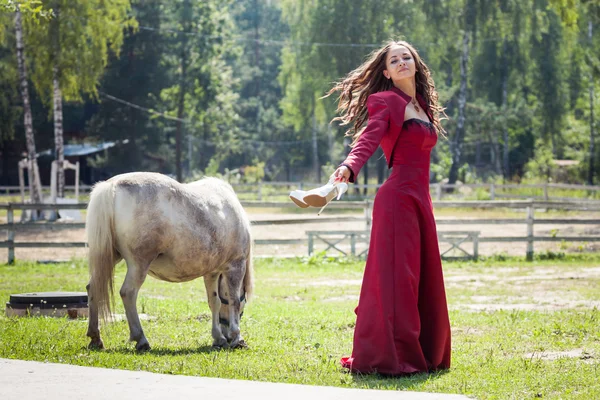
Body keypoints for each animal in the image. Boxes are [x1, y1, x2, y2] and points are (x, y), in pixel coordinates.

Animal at [85, 172, 253, 350]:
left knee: (93, 287)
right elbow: (234, 300)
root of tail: (112, 185)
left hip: (111, 258)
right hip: (139, 265)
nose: (227, 336)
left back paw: (95, 337)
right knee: (128, 293)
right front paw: (237, 337)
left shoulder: (211, 272)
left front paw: (218, 338)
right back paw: (141, 339)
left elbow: (214, 301)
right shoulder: (236, 265)